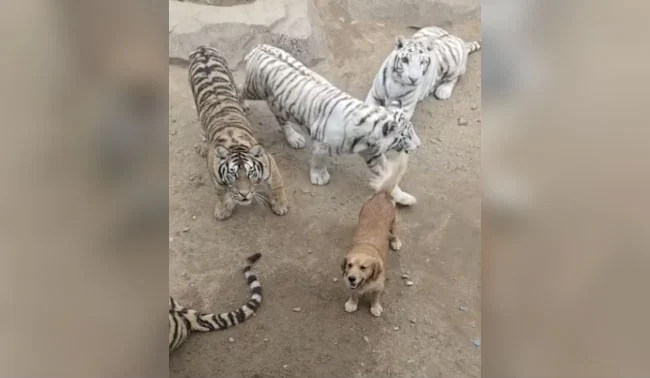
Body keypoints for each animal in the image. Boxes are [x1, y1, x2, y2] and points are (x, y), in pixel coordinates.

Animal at [239, 44, 420, 204]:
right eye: (406, 135)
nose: (419, 146)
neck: (368, 138)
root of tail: (258, 47)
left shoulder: (372, 153)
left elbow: (387, 174)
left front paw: (403, 197)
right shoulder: (322, 144)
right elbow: (319, 160)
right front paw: (319, 178)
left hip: (279, 104)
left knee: (281, 119)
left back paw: (294, 138)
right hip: (254, 89)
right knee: (240, 89)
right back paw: (242, 105)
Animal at [340, 153, 404, 316]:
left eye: (363, 267)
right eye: (349, 265)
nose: (351, 278)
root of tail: (382, 193)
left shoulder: (379, 287)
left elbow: (375, 298)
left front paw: (375, 308)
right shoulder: (351, 286)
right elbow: (353, 293)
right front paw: (352, 303)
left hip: (394, 222)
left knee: (395, 232)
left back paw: (395, 241)